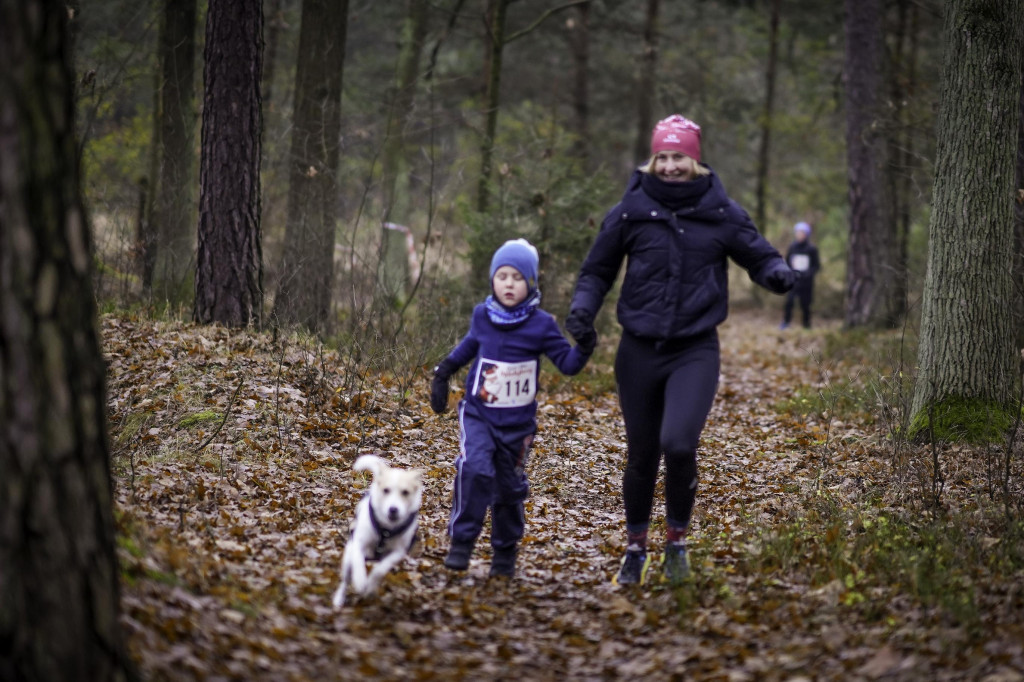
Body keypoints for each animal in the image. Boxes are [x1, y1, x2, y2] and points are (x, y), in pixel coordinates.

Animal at [329, 450, 421, 606]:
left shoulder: (398, 552)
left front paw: (370, 586)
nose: (393, 509)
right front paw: (360, 580)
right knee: (345, 580)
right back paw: (339, 599)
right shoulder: (358, 544)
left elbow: (379, 570)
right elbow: (358, 562)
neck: (386, 529)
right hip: (348, 559)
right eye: (386, 490)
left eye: (405, 492)